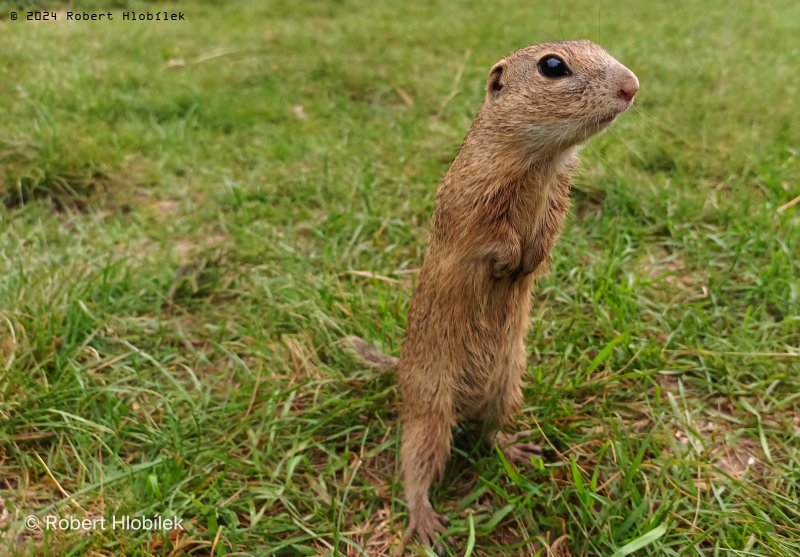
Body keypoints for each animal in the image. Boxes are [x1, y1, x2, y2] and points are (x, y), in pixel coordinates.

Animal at [344, 39, 636, 552]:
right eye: (553, 66)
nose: (633, 86)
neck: (541, 160)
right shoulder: (476, 201)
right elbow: (489, 239)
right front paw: (510, 263)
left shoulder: (558, 195)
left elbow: (548, 233)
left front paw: (529, 262)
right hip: (429, 410)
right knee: (414, 465)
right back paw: (425, 521)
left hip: (508, 383)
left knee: (488, 432)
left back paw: (518, 448)